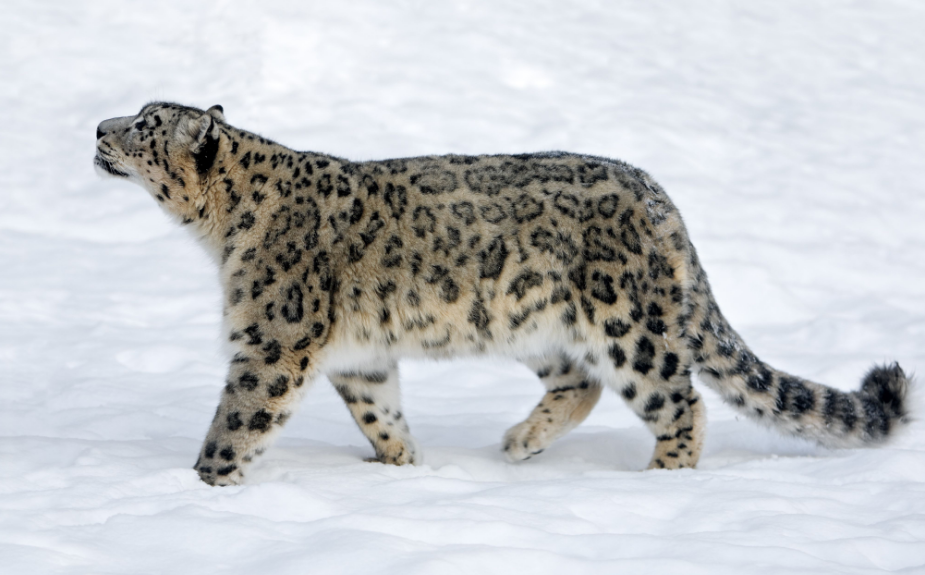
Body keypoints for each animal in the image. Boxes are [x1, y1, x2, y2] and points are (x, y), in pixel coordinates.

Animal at [95, 102, 911, 486]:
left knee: (679, 399)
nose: (100, 128)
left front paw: (202, 485)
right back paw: (520, 442)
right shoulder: (358, 356)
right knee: (579, 381)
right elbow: (378, 410)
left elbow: (237, 420)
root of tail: (660, 199)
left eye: (144, 125)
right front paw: (401, 464)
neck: (220, 232)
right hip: (534, 321)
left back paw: (662, 480)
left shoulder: (272, 339)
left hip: (628, 323)